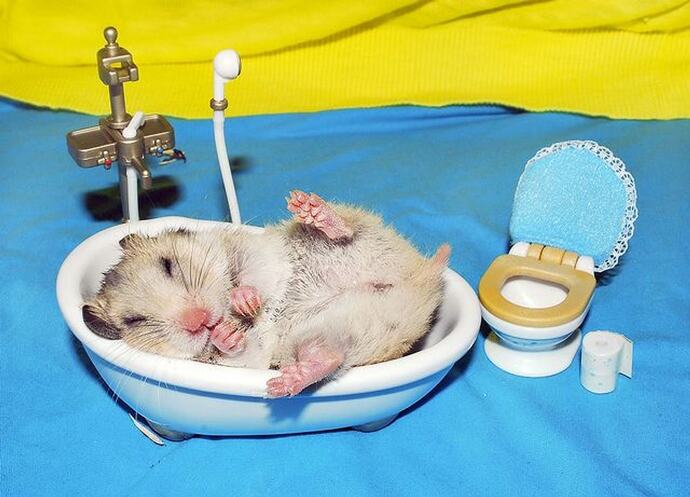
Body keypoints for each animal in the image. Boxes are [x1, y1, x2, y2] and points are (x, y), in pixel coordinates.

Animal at [83, 190, 450, 397]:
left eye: (168, 265)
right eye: (135, 321)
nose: (200, 320)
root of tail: (423, 283)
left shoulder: (243, 250)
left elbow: (249, 276)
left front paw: (244, 302)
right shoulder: (242, 362)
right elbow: (240, 351)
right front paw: (226, 335)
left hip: (359, 238)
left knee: (345, 231)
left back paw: (312, 210)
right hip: (331, 334)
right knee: (328, 357)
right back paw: (286, 384)